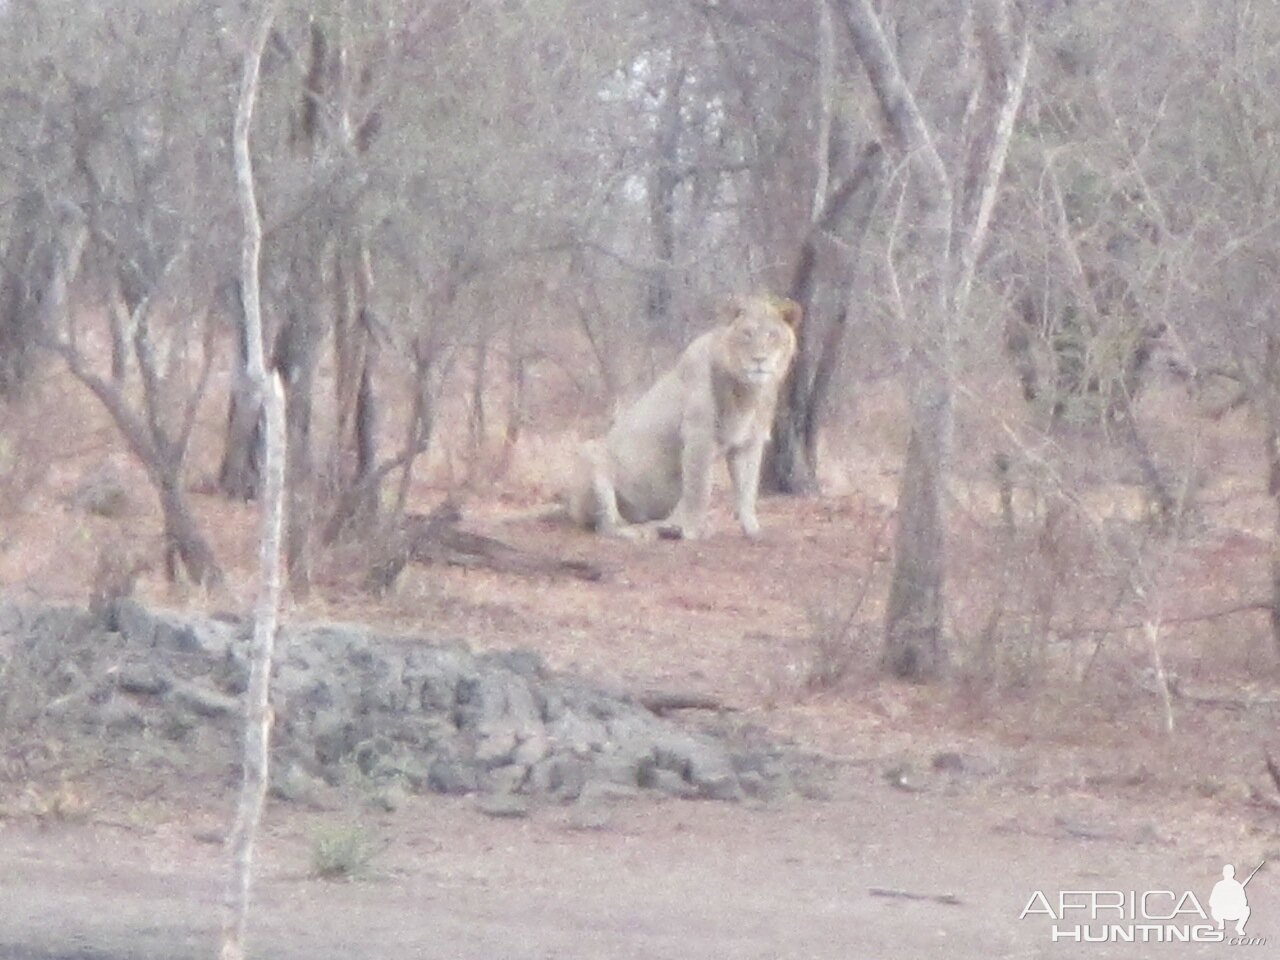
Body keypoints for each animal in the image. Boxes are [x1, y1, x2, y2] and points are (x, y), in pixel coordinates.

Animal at [568, 293, 798, 542]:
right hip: (592, 455)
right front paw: (690, 531)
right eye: (747, 333)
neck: (747, 392)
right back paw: (642, 532)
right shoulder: (699, 437)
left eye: (772, 335)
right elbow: (699, 489)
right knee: (606, 525)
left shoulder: (749, 443)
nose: (759, 359)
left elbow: (747, 489)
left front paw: (753, 530)